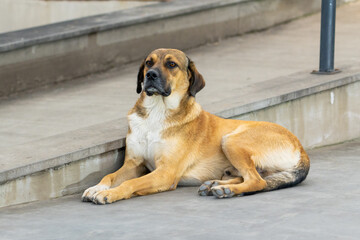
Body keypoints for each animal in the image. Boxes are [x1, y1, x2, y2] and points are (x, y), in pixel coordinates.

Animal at [81, 47, 310, 203]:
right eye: (148, 62)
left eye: (171, 65)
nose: (150, 75)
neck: (157, 111)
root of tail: (300, 148)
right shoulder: (133, 164)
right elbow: (110, 175)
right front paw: (97, 187)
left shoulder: (166, 173)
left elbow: (131, 183)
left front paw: (110, 193)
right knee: (255, 178)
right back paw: (217, 185)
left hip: (231, 140)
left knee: (257, 181)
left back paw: (226, 190)